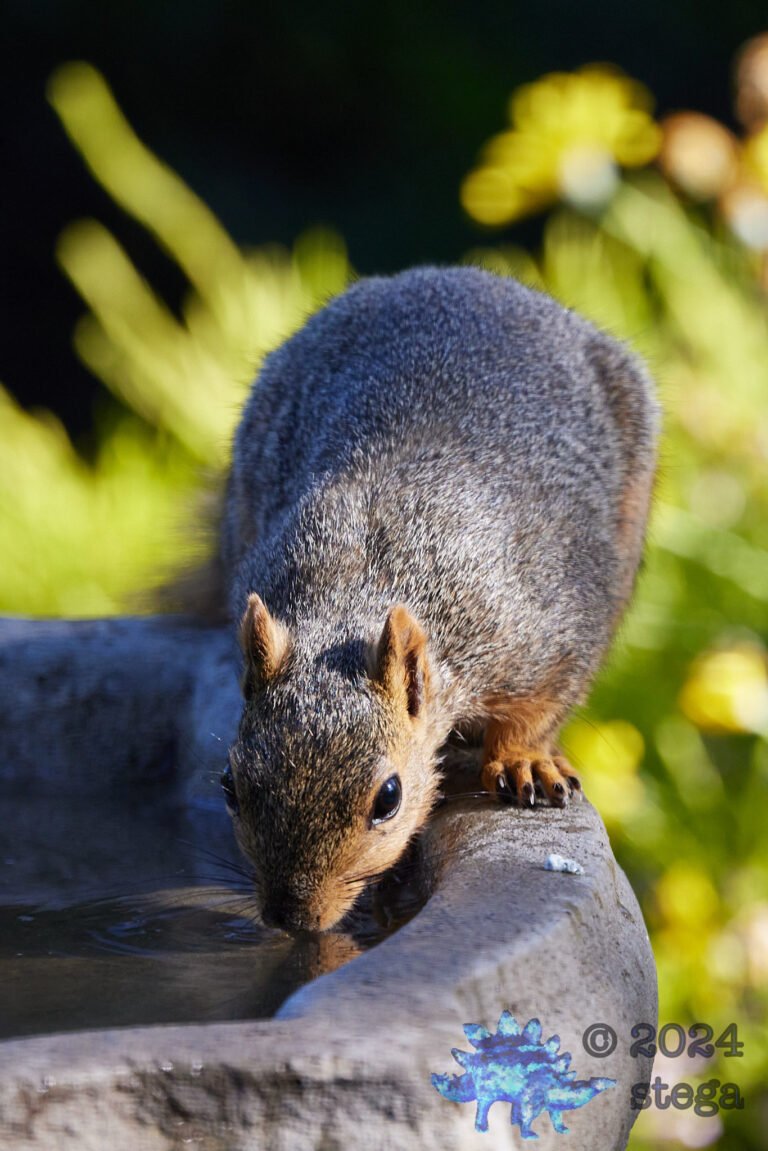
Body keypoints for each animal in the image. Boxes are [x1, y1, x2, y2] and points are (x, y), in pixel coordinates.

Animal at [217, 266, 659, 933]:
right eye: (231, 787)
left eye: (389, 798)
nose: (292, 916)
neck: (357, 592)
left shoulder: (545, 634)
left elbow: (540, 708)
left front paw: (524, 760)